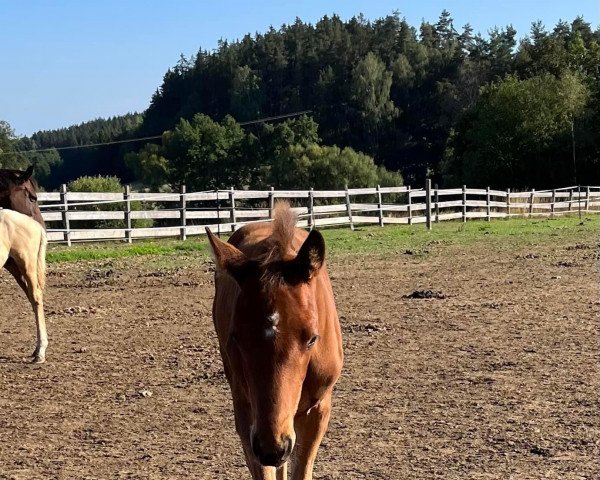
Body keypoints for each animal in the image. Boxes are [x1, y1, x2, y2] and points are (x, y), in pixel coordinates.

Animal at [0, 208, 47, 362]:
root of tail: (35, 224)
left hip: (27, 264)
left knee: (36, 297)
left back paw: (40, 352)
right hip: (13, 267)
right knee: (32, 299)